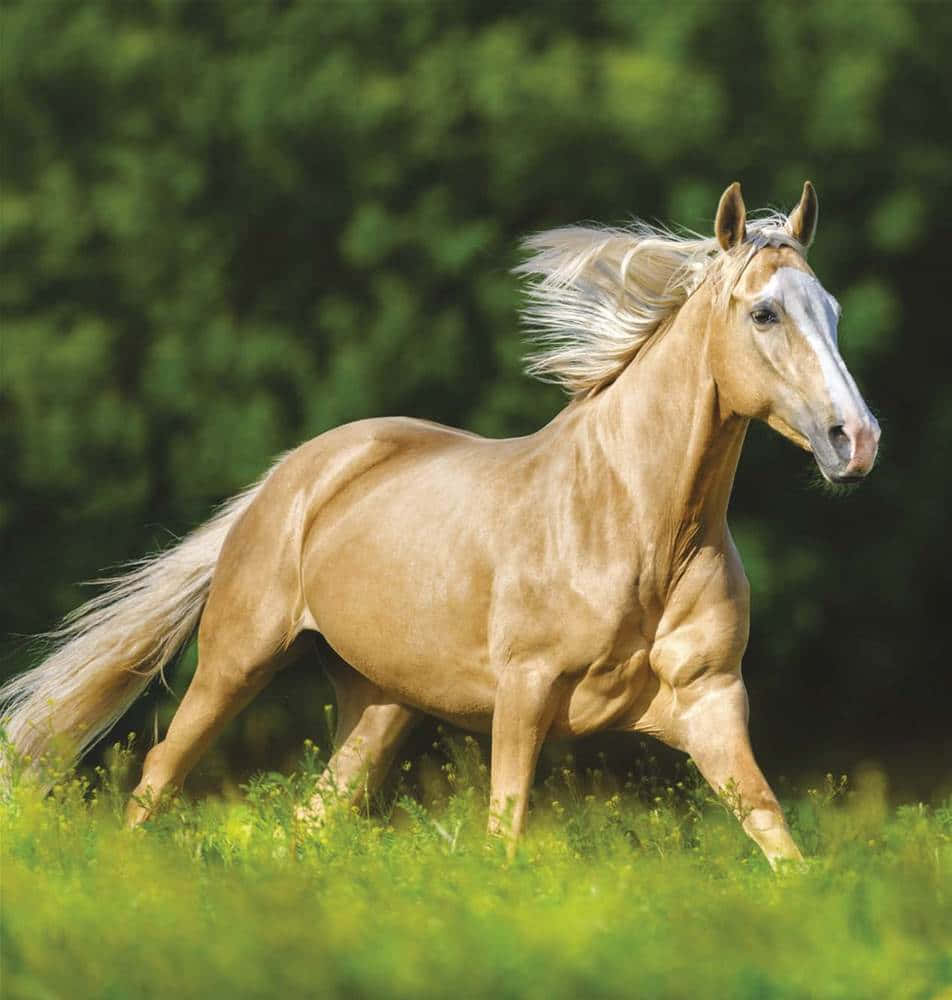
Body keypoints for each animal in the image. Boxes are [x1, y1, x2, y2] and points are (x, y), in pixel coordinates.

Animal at [0, 181, 880, 867]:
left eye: (834, 310)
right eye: (764, 313)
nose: (856, 440)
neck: (639, 529)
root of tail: (294, 474)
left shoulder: (710, 701)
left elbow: (777, 838)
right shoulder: (524, 693)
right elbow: (505, 835)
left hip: (381, 705)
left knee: (311, 817)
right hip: (235, 661)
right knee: (156, 778)